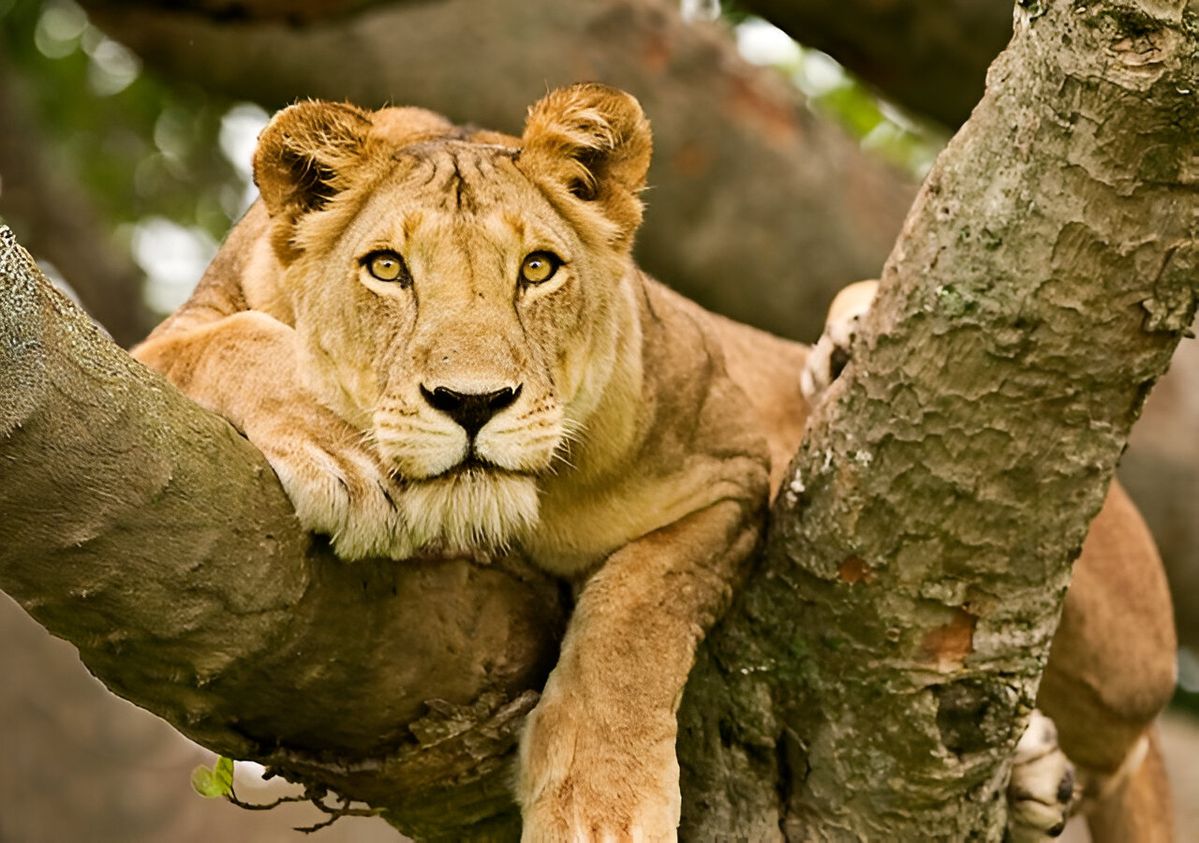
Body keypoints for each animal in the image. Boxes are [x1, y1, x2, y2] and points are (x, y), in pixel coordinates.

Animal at [133, 84, 1176, 841]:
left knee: (1125, 744)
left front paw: (601, 801)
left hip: (1127, 637)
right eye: (386, 268)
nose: (472, 403)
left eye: (538, 269)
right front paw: (341, 447)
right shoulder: (172, 338)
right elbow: (231, 344)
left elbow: (635, 614)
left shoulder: (726, 473)